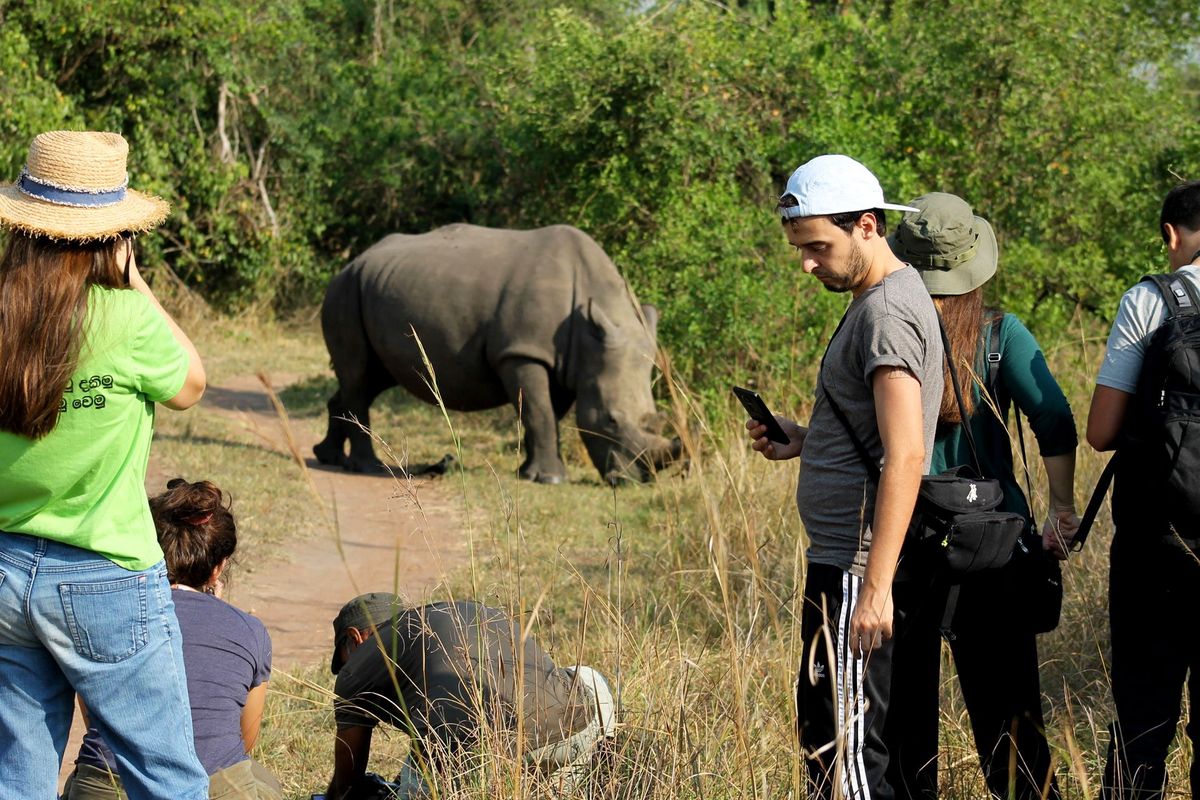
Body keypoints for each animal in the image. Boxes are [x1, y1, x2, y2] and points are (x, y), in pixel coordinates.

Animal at [314, 223, 682, 484]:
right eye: (611, 420)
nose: (636, 481)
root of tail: (353, 261)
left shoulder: (565, 362)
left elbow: (546, 413)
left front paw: (529, 472)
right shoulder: (522, 352)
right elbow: (538, 411)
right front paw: (552, 479)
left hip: (371, 287)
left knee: (370, 378)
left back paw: (329, 458)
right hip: (344, 291)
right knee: (359, 376)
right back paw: (369, 468)